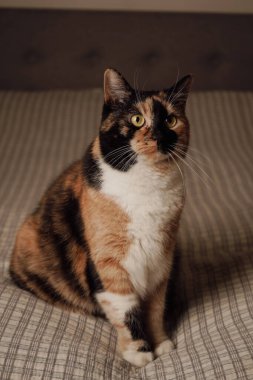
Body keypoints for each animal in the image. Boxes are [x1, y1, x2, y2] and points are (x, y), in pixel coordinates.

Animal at [9, 69, 192, 368]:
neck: (148, 184)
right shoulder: (109, 264)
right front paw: (139, 354)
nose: (158, 136)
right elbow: (127, 311)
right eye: (137, 119)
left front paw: (162, 344)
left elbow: (155, 308)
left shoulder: (161, 261)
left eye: (171, 120)